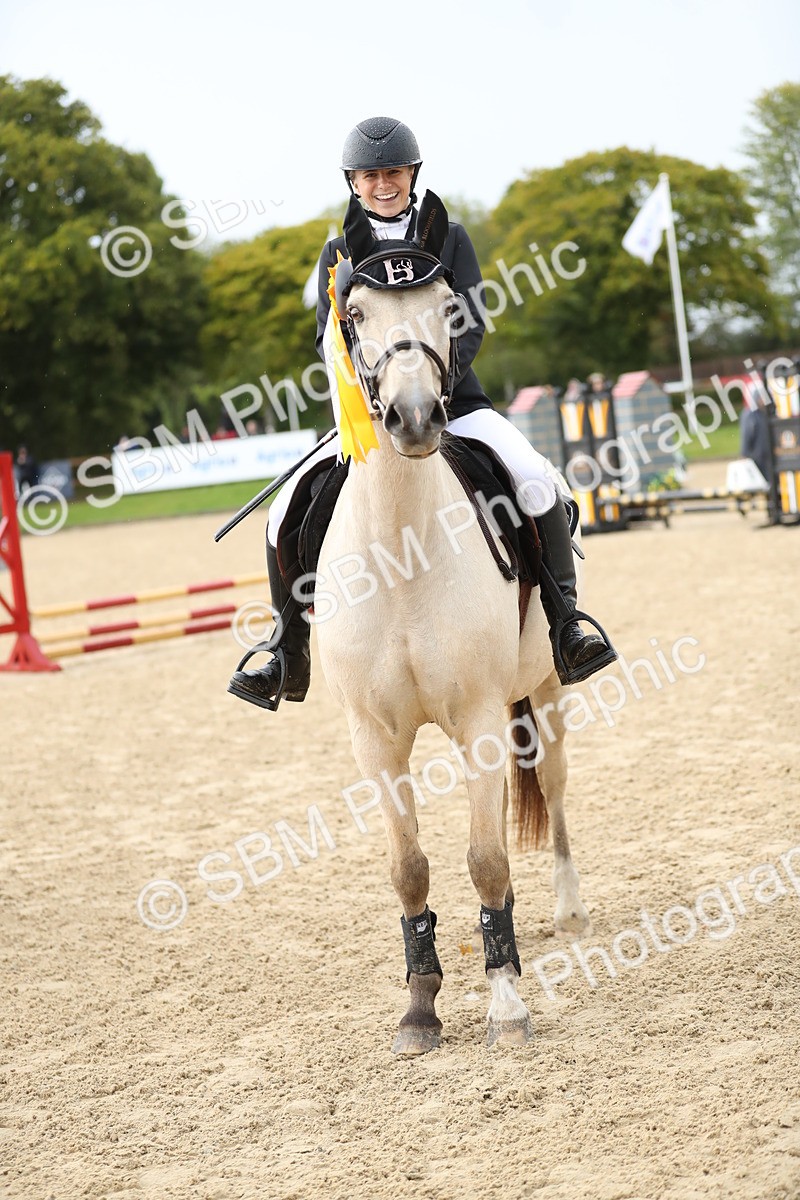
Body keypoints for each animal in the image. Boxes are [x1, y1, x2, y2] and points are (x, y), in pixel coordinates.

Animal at [314, 193, 591, 1054]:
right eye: (354, 312)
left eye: (447, 307)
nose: (412, 419)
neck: (402, 552)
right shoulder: (375, 738)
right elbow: (411, 870)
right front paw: (420, 1007)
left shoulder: (477, 718)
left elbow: (487, 860)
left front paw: (506, 1005)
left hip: (545, 692)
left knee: (555, 790)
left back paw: (566, 908)